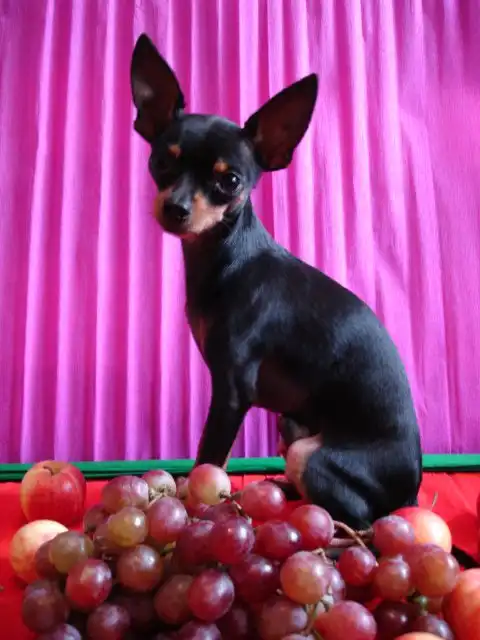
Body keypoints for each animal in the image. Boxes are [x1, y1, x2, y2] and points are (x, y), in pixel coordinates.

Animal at [130, 33, 423, 530]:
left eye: (230, 181)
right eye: (160, 162)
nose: (176, 208)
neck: (227, 258)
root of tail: (411, 495)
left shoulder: (232, 394)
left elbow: (208, 460)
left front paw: (192, 510)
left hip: (312, 454)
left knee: (358, 516)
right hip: (291, 425)